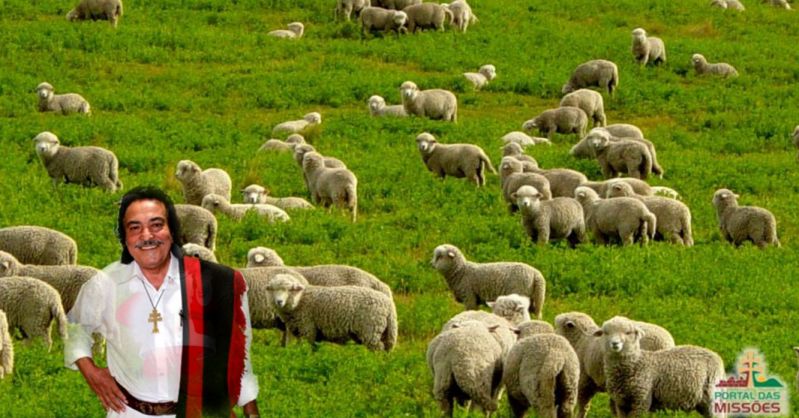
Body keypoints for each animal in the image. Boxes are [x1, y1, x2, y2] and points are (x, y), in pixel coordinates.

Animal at [265, 273, 397, 351]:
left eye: (289, 289)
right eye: (273, 289)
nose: (279, 301)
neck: (300, 299)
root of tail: (389, 304)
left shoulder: (308, 328)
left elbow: (307, 348)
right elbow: (313, 349)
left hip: (371, 329)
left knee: (378, 349)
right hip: (383, 330)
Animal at [596, 316, 725, 417]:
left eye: (628, 332)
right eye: (606, 333)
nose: (615, 344)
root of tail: (715, 354)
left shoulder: (641, 401)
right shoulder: (620, 402)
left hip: (712, 397)